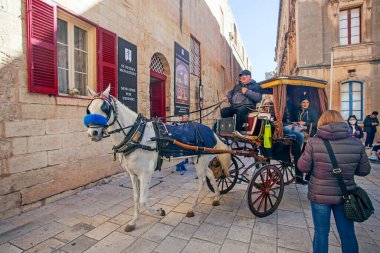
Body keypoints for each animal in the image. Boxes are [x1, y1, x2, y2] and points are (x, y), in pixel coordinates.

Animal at [85, 86, 232, 231]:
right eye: (89, 109)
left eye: (105, 108)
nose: (93, 133)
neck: (137, 135)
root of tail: (211, 132)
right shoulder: (133, 174)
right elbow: (135, 198)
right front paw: (134, 221)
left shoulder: (146, 173)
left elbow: (143, 200)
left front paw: (159, 211)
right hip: (200, 160)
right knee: (211, 175)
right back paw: (217, 197)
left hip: (201, 161)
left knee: (201, 181)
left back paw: (192, 208)